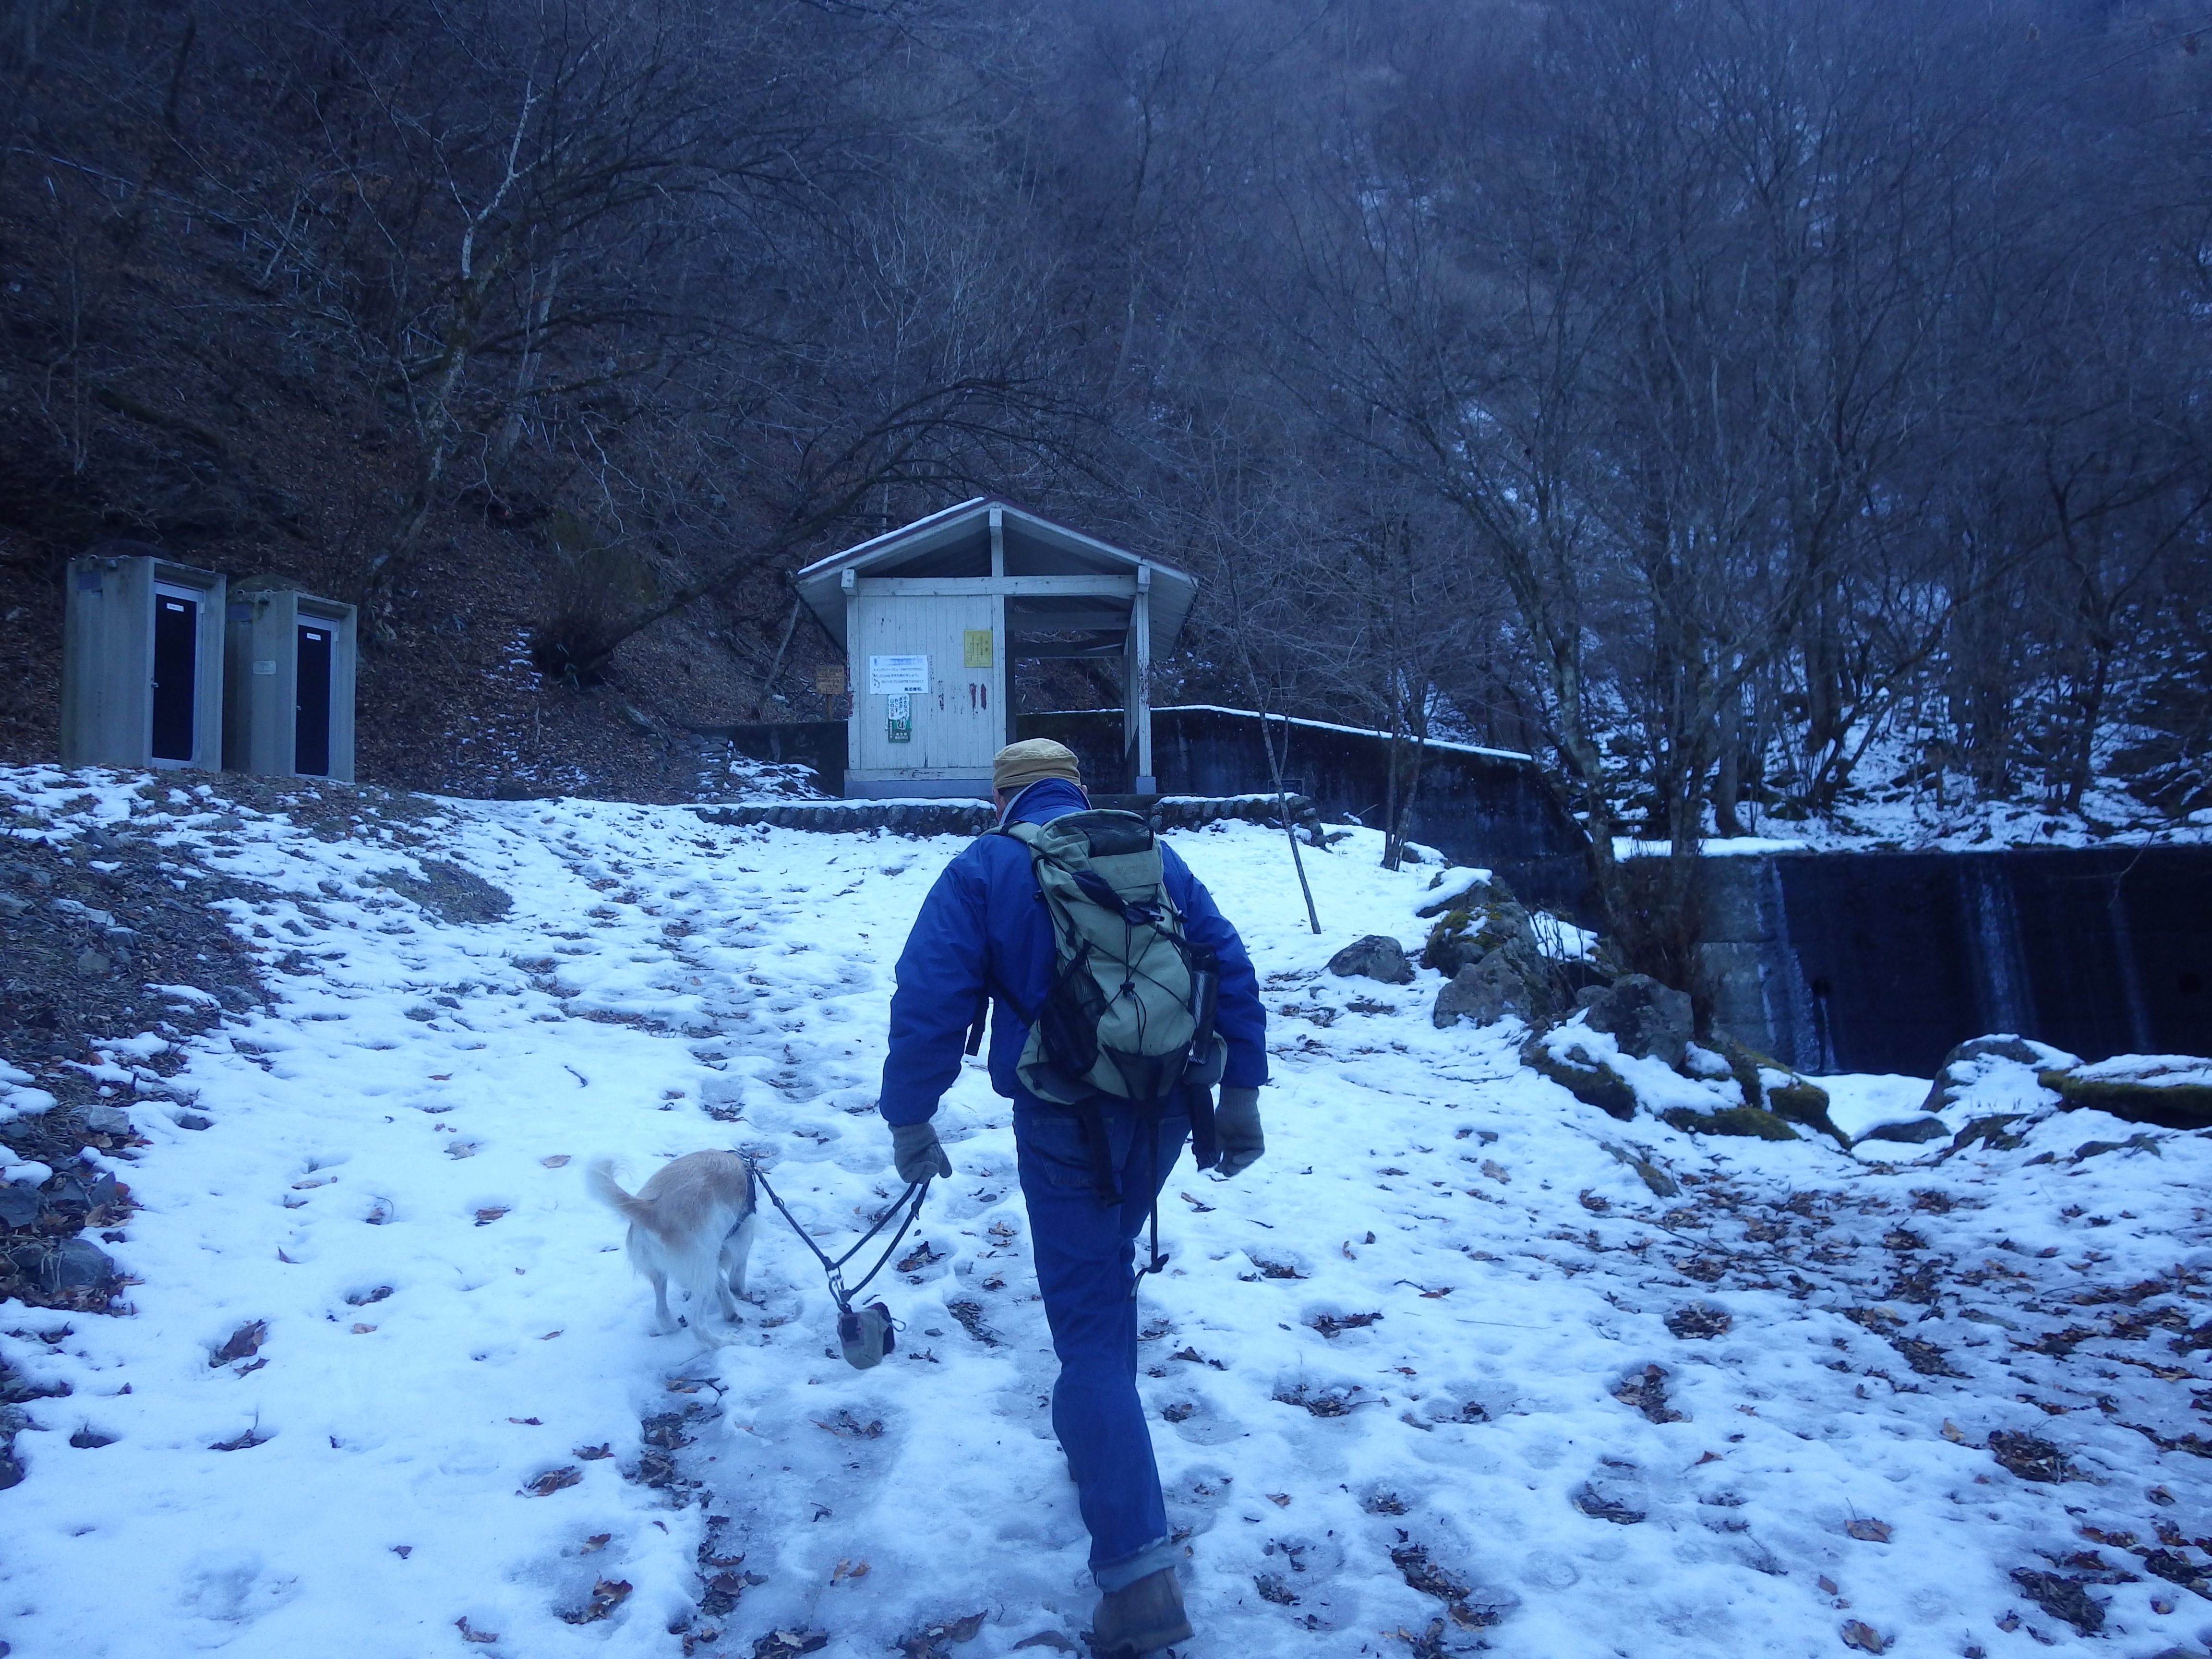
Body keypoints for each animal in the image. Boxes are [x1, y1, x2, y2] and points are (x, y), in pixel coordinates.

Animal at [588, 1150, 761, 1345]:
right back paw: (724, 1341)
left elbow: (723, 1284)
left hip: (667, 1271)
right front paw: (739, 1295)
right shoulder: (743, 1235)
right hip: (703, 1269)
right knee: (698, 1326)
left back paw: (676, 1326)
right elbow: (735, 1279)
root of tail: (653, 1211)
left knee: (662, 1314)